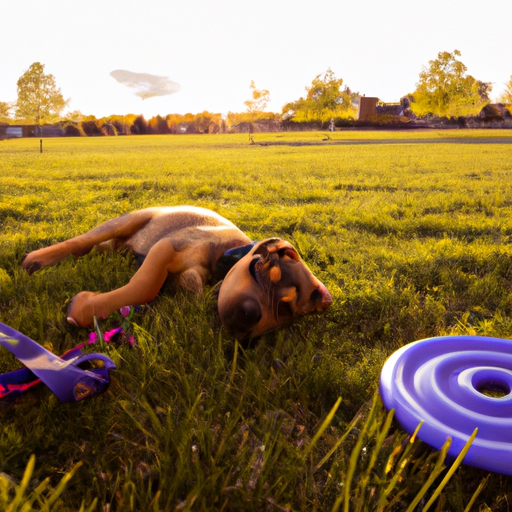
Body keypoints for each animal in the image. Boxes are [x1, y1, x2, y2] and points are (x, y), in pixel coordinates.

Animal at [22, 206, 332, 338]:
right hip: (127, 220)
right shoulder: (167, 246)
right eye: (259, 272)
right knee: (82, 241)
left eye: (284, 310)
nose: (246, 321)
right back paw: (37, 260)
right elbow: (145, 285)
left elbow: (185, 285)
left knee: (97, 248)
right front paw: (84, 308)